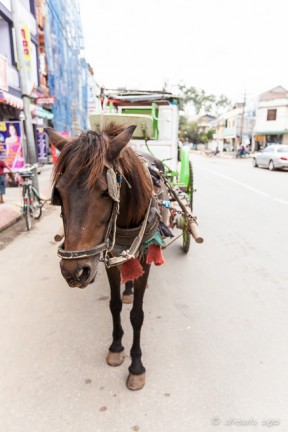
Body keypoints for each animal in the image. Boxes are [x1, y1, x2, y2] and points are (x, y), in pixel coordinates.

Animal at [45, 123, 168, 390]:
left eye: (104, 191)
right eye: (59, 192)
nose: (74, 272)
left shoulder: (145, 257)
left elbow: (137, 315)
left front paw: (136, 366)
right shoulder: (108, 256)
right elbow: (114, 305)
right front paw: (116, 347)